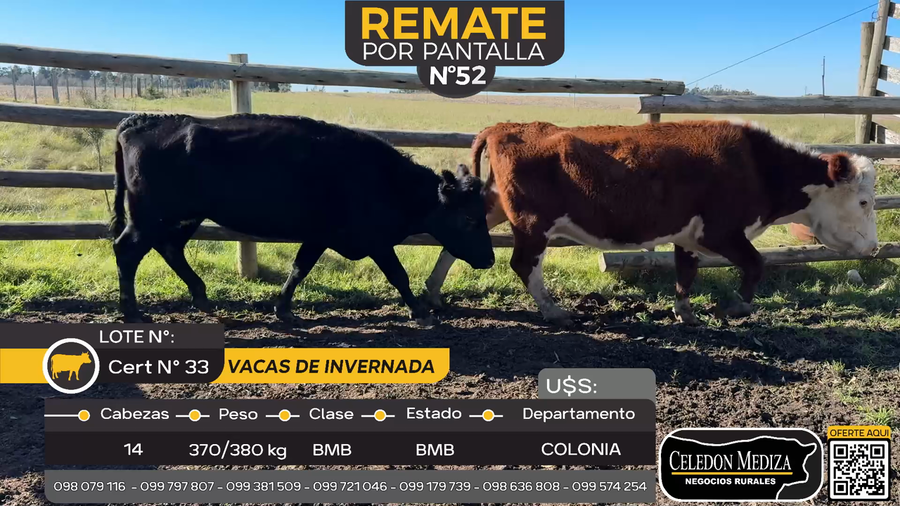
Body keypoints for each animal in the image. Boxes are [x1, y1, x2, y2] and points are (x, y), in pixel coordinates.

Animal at [111, 114, 494, 325]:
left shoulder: (320, 235)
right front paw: (421, 312)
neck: (383, 178)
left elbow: (299, 267)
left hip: (183, 217)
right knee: (128, 250)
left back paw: (201, 298)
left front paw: (283, 308)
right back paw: (132, 312)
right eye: (470, 219)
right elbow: (398, 275)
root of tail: (140, 123)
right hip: (149, 217)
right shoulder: (376, 241)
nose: (490, 259)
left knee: (170, 249)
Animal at [424, 120, 878, 326]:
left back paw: (432, 292)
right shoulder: (721, 231)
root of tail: (506, 126)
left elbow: (685, 273)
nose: (873, 248)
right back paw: (553, 310)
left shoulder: (690, 235)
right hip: (532, 224)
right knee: (523, 265)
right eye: (863, 200)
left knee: (456, 240)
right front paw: (735, 305)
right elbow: (756, 265)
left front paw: (685, 313)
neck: (757, 166)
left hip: (496, 206)